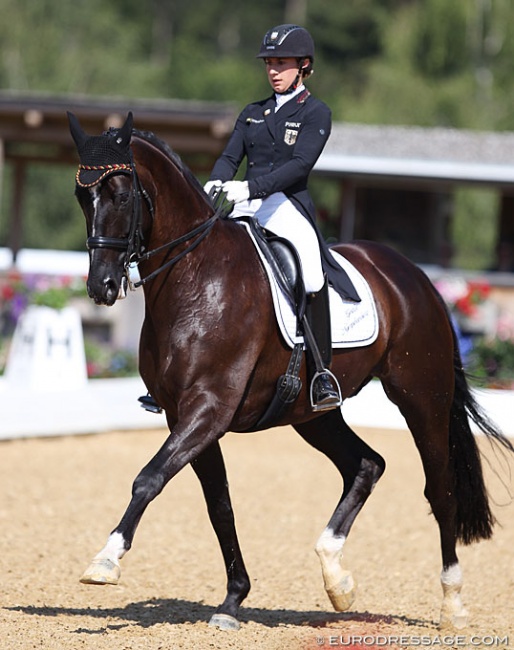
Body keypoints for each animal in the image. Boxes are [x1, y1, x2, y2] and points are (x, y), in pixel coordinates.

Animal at [69, 110, 512, 628]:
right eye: (81, 195)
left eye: (121, 194)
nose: (101, 286)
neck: (196, 277)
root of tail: (415, 276)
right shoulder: (187, 416)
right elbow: (219, 505)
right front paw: (232, 600)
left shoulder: (208, 408)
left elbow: (149, 478)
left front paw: (105, 560)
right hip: (314, 412)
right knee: (367, 464)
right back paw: (336, 578)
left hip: (422, 396)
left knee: (439, 490)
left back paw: (452, 604)